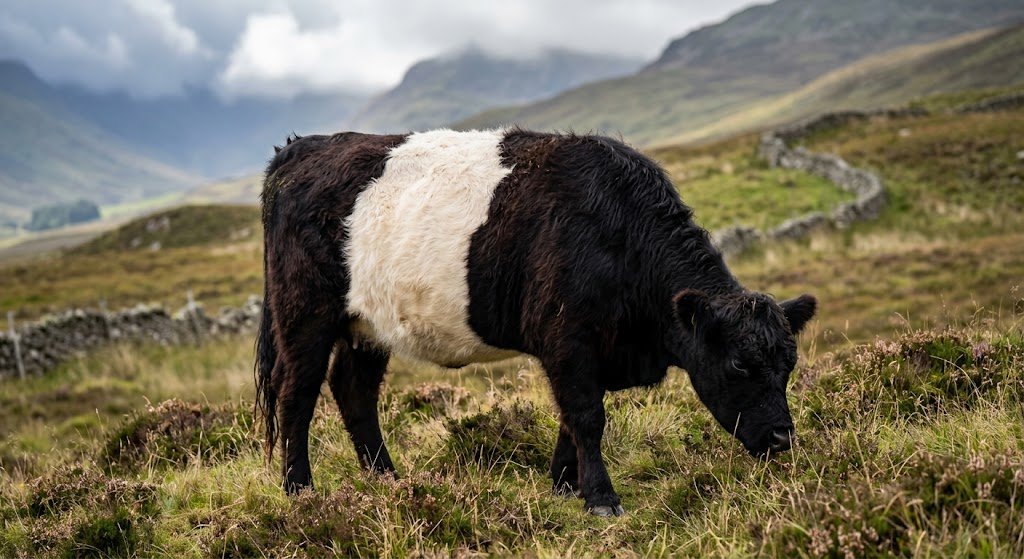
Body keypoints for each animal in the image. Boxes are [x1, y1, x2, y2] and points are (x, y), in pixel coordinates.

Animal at [255, 128, 817, 516]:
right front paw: (601, 498)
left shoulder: (588, 351)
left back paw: (388, 483)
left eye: (788, 365)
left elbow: (572, 418)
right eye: (740, 365)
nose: (782, 439)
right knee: (297, 393)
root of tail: (300, 148)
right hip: (305, 312)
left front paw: (564, 485)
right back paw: (300, 491)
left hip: (368, 325)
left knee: (354, 391)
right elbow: (587, 416)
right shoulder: (568, 340)